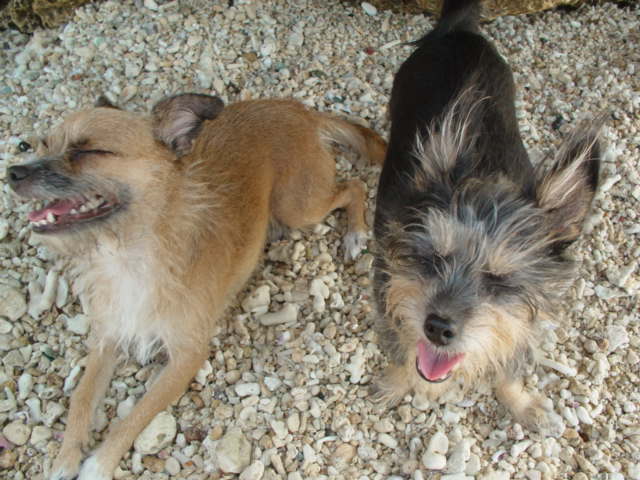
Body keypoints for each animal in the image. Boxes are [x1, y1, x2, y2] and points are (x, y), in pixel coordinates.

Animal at [8, 94, 385, 480]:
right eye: (40, 145)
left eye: (89, 151)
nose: (13, 173)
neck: (129, 252)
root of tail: (300, 111)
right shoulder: (108, 337)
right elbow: (81, 398)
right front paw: (64, 459)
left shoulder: (187, 356)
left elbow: (135, 416)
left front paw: (98, 464)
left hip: (300, 206)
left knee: (353, 187)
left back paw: (356, 233)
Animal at [372, 0, 602, 430]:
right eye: (433, 258)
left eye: (501, 281)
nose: (437, 327)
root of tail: (460, 30)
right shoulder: (384, 286)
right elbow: (399, 345)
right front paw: (394, 384)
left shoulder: (526, 321)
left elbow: (511, 368)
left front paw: (521, 403)